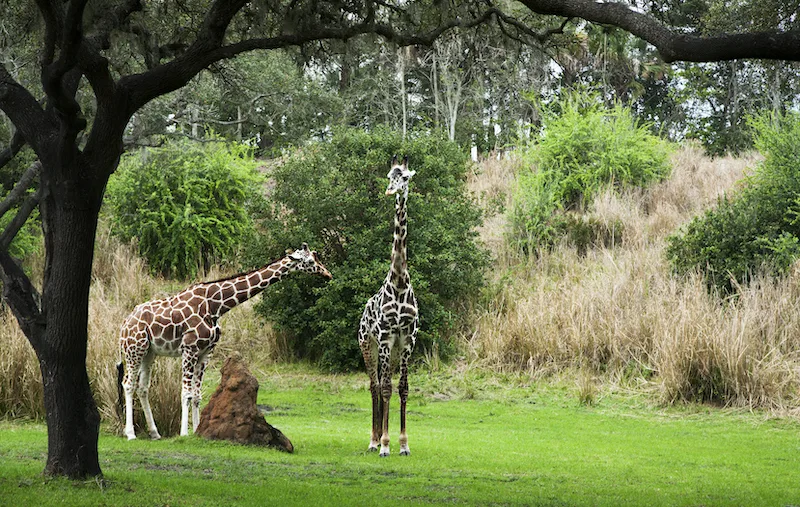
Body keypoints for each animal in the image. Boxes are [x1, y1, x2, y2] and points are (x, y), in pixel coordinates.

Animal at [116, 243, 332, 440]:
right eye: (310, 261)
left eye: (316, 257)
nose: (328, 274)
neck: (215, 306)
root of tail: (124, 323)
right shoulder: (190, 349)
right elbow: (186, 393)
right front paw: (184, 433)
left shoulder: (206, 352)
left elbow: (197, 395)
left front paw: (197, 431)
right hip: (134, 349)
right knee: (128, 384)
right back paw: (130, 434)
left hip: (149, 352)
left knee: (143, 387)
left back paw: (155, 433)